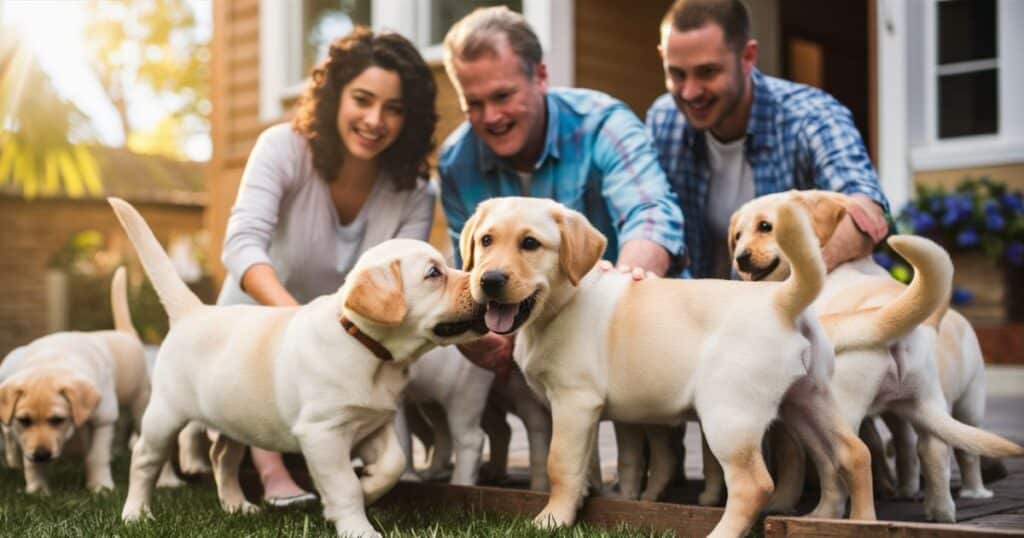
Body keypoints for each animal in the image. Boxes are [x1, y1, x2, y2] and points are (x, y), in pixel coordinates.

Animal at [0, 266, 182, 493]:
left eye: (57, 420)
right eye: (24, 420)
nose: (42, 454)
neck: (53, 360)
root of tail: (125, 333)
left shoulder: (104, 419)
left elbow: (97, 456)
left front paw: (100, 486)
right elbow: (31, 462)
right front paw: (38, 490)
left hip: (141, 404)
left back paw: (168, 481)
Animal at [110, 197, 485, 536]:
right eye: (434, 273)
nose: (481, 280)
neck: (368, 349)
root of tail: (192, 312)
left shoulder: (374, 424)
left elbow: (395, 464)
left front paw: (368, 488)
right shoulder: (323, 432)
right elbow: (344, 484)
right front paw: (357, 527)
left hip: (234, 416)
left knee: (222, 456)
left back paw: (236, 505)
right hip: (165, 413)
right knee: (144, 458)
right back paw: (135, 513)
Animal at [462, 195, 872, 536]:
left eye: (530, 244)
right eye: (486, 241)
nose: (490, 279)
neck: (562, 300)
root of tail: (782, 301)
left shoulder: (575, 401)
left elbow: (559, 464)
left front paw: (551, 520)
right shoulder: (584, 413)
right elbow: (585, 466)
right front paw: (580, 502)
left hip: (730, 414)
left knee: (754, 484)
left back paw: (722, 534)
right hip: (809, 400)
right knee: (853, 453)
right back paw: (860, 523)